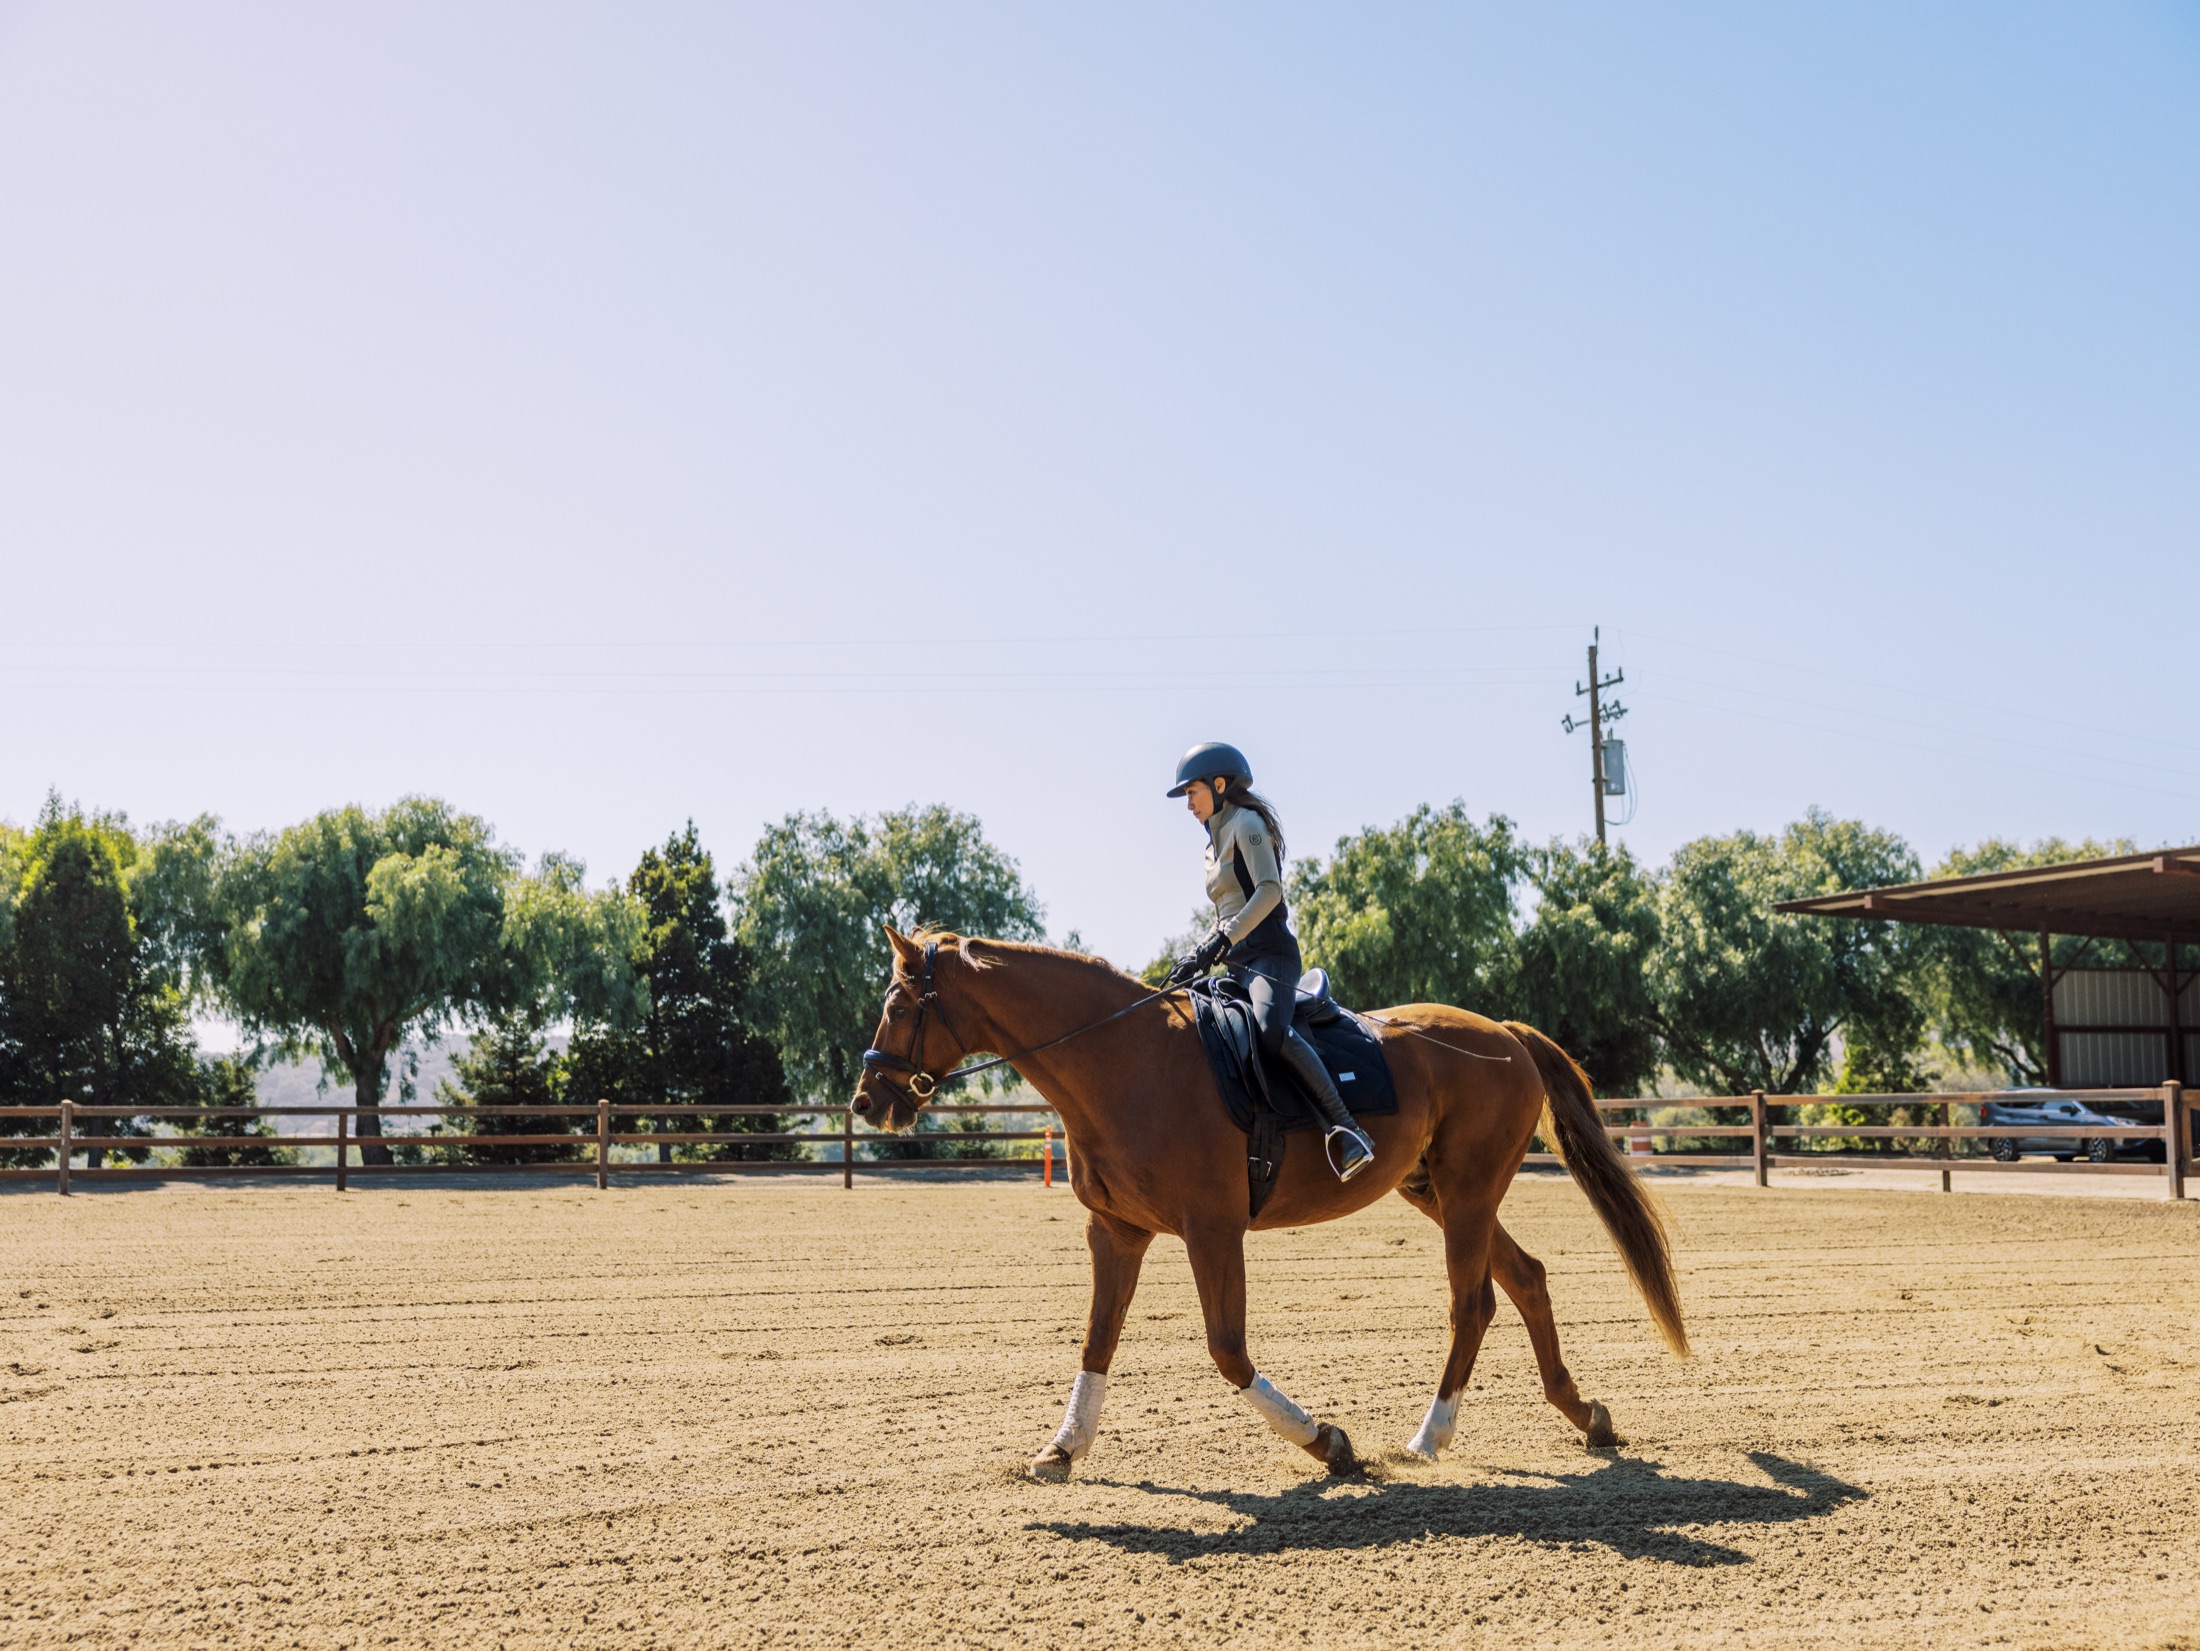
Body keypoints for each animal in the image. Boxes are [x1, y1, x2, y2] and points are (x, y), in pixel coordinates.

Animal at [853, 927, 1688, 1481]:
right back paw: (1585, 1415)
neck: (1122, 1061)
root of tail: (1504, 1035)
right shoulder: (1116, 1232)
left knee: (1474, 1301)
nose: (866, 1101)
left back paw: (1430, 1435)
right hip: (1442, 1193)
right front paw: (1063, 1446)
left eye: (898, 1003)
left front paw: (1328, 1443)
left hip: (1469, 1191)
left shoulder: (1212, 1230)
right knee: (1526, 1279)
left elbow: (1228, 1350)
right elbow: (1097, 1340)